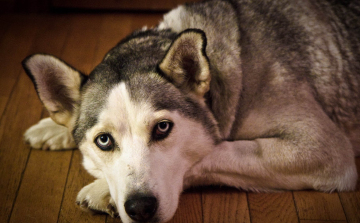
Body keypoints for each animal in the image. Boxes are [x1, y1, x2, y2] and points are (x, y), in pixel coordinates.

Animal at [22, 0, 360, 222]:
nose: (140, 208)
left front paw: (102, 190)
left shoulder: (322, 148)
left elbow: (213, 152)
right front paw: (51, 128)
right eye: (103, 140)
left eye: (162, 128)